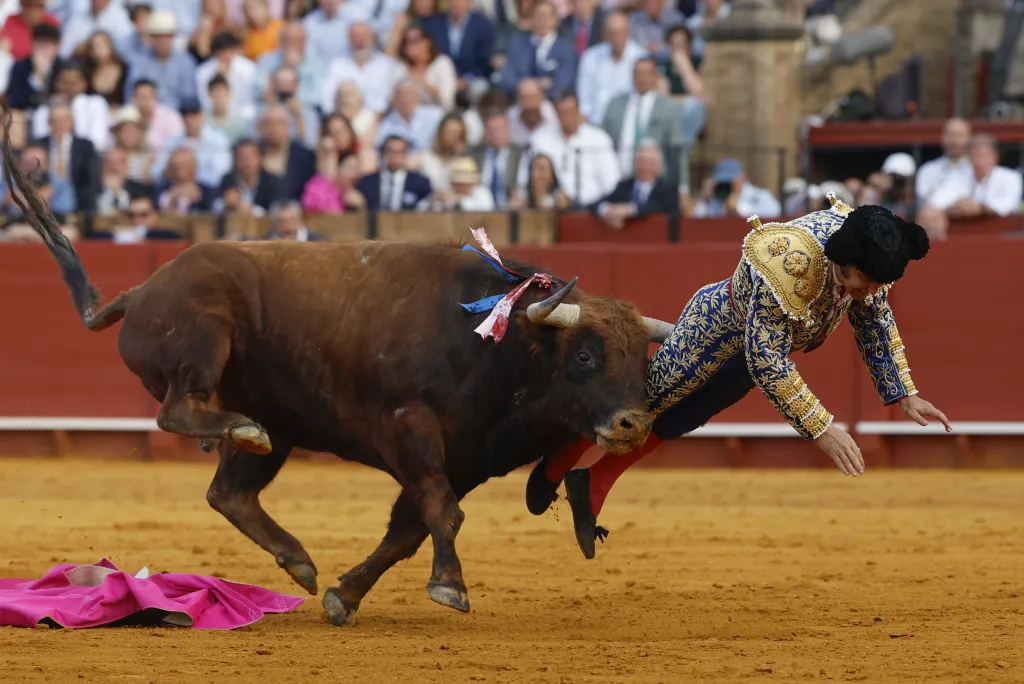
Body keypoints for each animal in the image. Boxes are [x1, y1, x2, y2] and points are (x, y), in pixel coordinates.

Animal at [2, 116, 671, 626]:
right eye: (584, 355)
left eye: (641, 358)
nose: (633, 424)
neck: (499, 342)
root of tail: (138, 292)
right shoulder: (410, 428)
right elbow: (439, 510)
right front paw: (450, 586)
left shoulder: (465, 458)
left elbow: (408, 528)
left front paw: (343, 595)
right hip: (207, 334)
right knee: (177, 411)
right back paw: (240, 432)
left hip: (280, 418)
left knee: (229, 492)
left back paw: (298, 558)